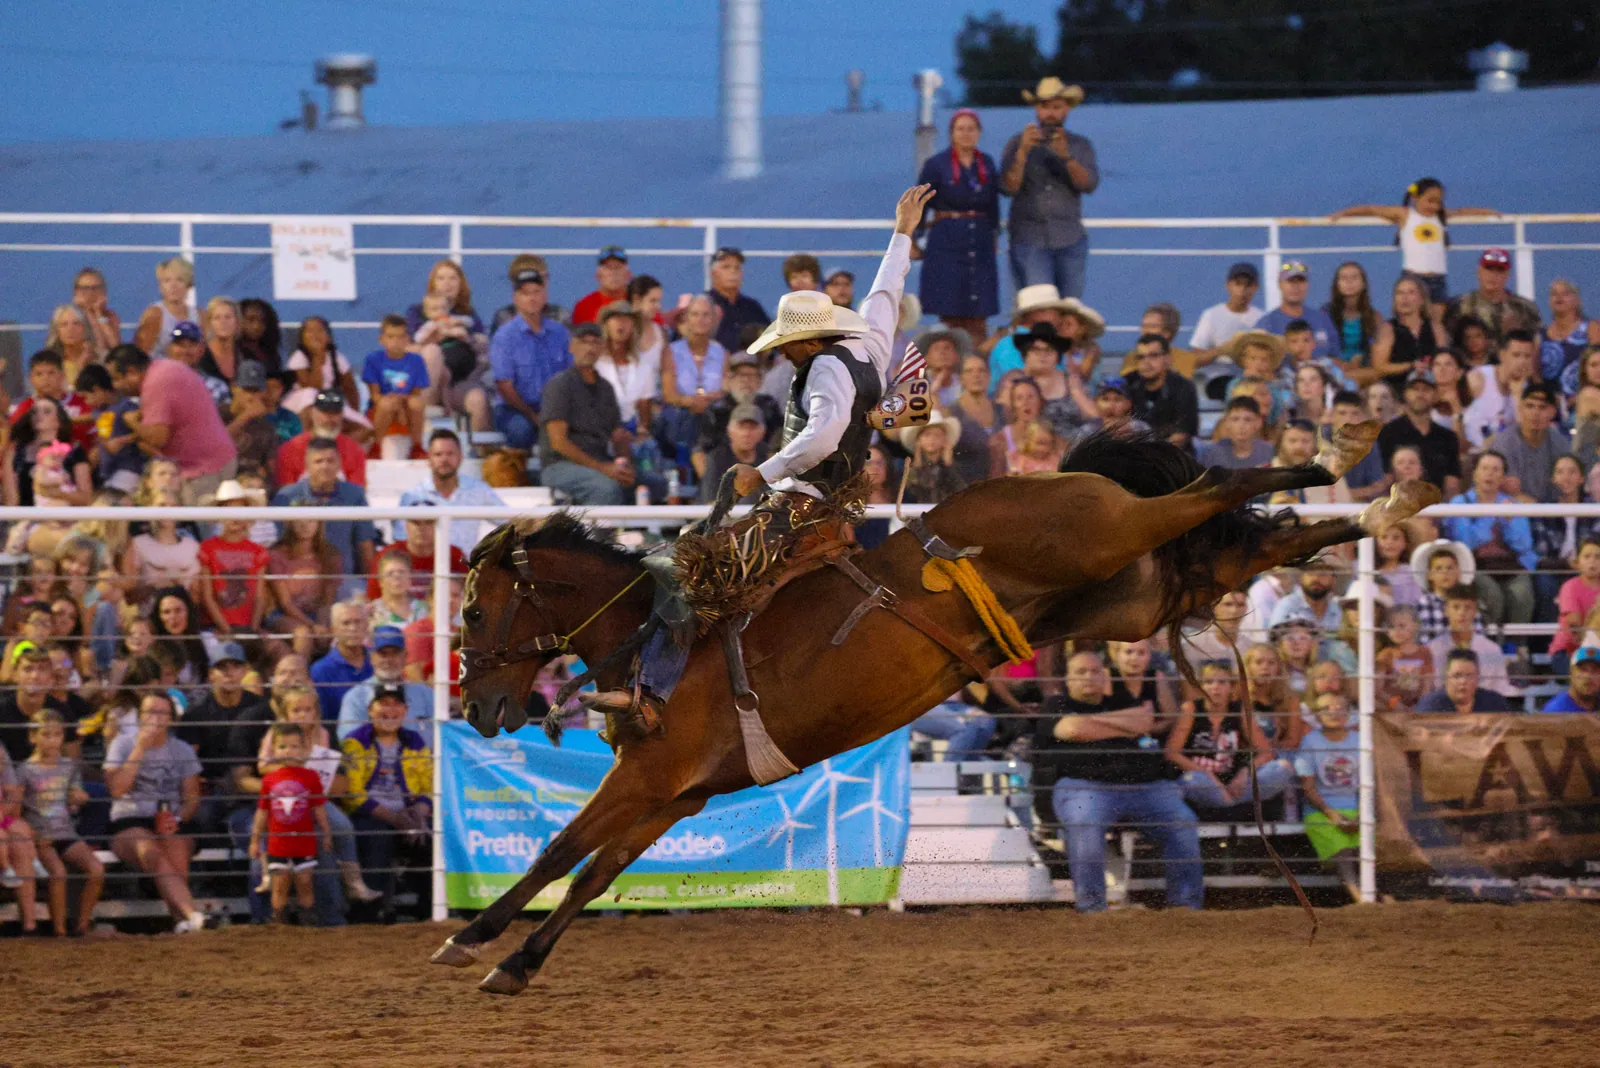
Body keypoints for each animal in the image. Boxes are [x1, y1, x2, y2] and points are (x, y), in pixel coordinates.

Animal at [435, 423, 1437, 994]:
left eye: (477, 612)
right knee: (1243, 542)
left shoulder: (649, 778)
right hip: (1132, 595)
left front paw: (471, 938)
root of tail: (1048, 478)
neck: (657, 630)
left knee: (1217, 485)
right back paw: (1385, 502)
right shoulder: (676, 795)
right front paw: (513, 962)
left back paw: (1342, 459)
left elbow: (561, 850)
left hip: (1114, 540)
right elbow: (595, 873)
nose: (477, 705)